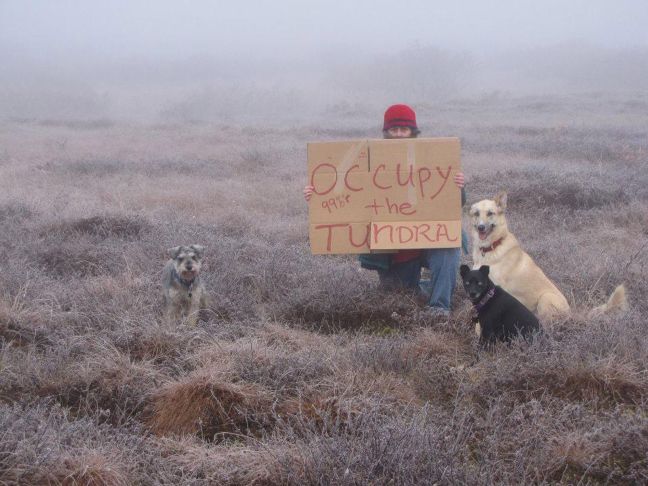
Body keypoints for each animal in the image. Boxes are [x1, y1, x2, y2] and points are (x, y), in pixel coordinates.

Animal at [470, 192, 628, 320]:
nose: (481, 228)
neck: (491, 247)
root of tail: (570, 312)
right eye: (476, 214)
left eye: (490, 213)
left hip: (545, 298)